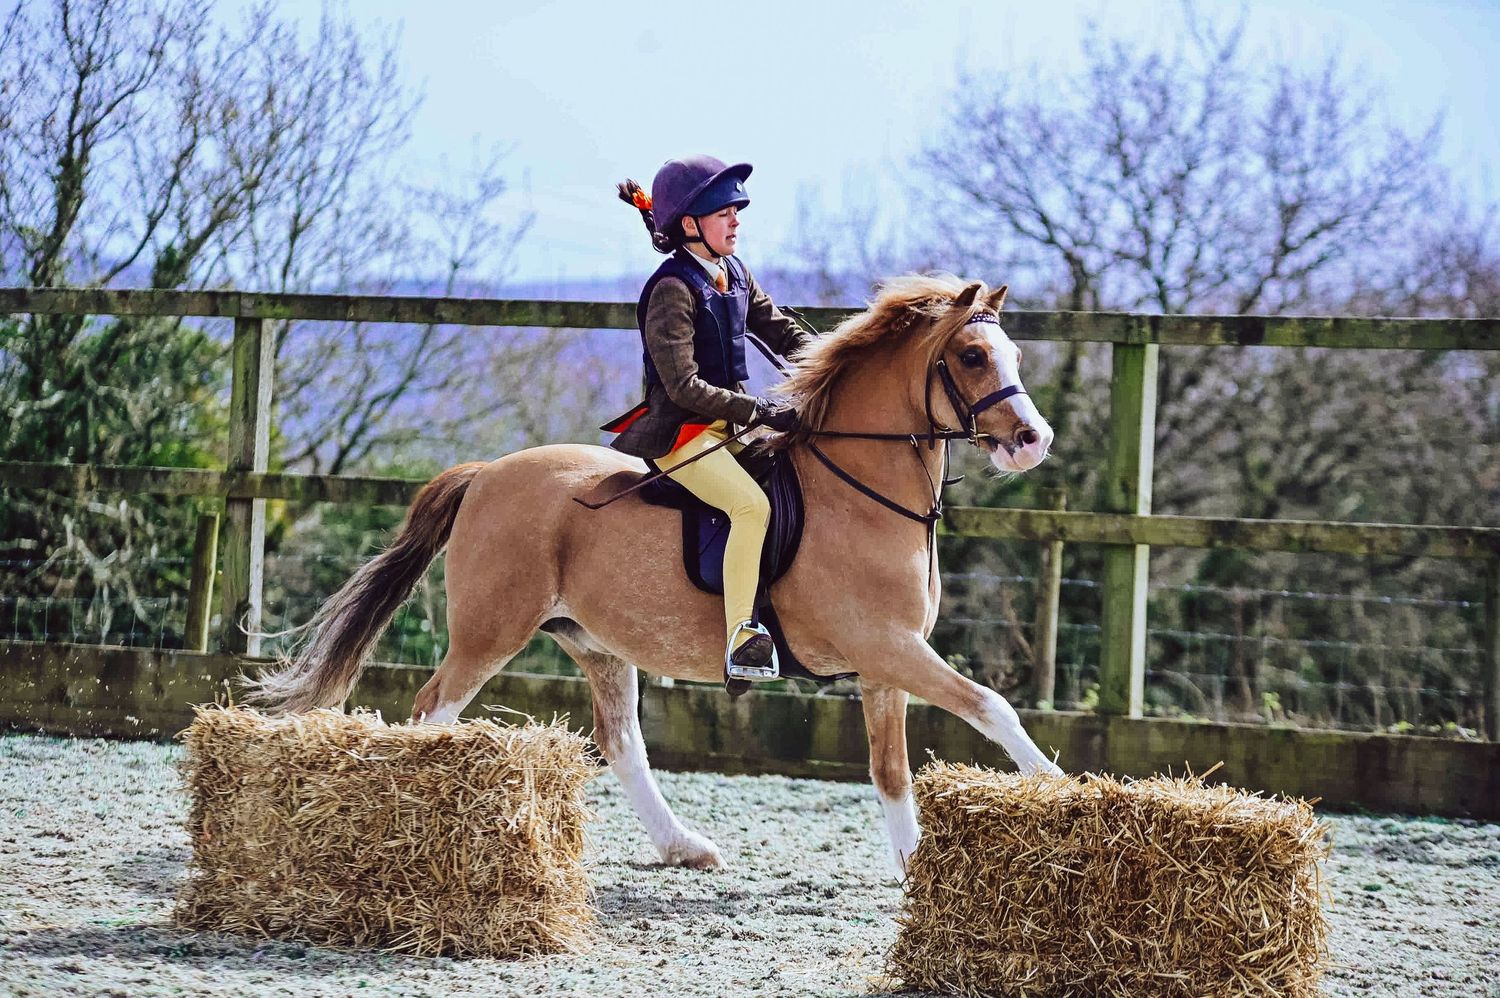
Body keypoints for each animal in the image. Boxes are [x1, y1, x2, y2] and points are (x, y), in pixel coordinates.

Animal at [247, 274, 1062, 875]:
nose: (1033, 440)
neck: (858, 489)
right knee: (432, 709)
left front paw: (917, 866)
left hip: (595, 642)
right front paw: (1061, 787)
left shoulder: (884, 664)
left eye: (1014, 354)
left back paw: (683, 846)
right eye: (972, 357)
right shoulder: (886, 646)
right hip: (491, 632)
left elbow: (891, 769)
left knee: (620, 741)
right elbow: (992, 707)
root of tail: (486, 475)